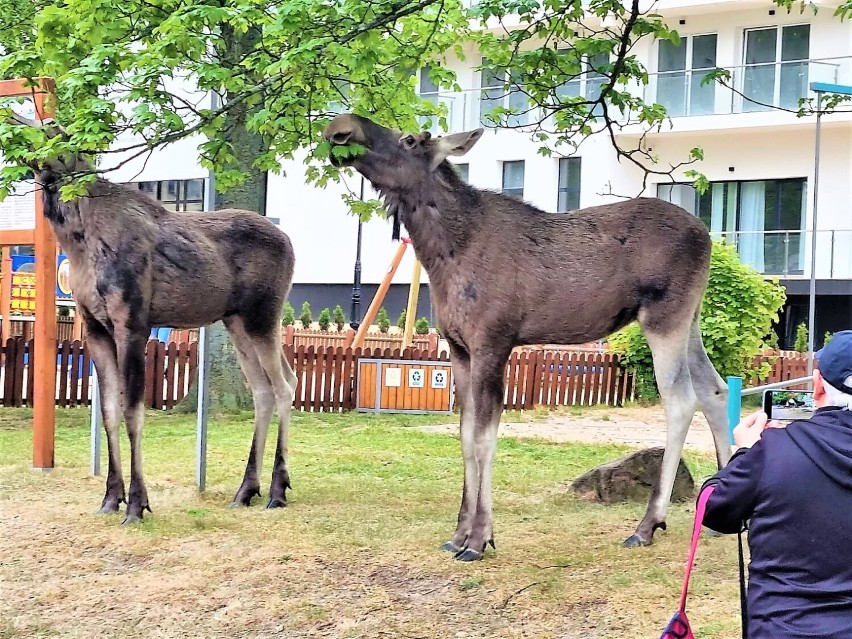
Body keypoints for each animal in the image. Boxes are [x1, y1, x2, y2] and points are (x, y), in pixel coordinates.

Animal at [322, 112, 728, 564]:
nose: (341, 127)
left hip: (663, 316)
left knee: (682, 400)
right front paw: (458, 534)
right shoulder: (458, 349)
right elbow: (464, 437)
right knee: (715, 389)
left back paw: (647, 525)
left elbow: (483, 439)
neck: (441, 254)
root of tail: (707, 236)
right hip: (690, 318)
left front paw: (479, 539)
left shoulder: (493, 342)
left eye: (409, 139)